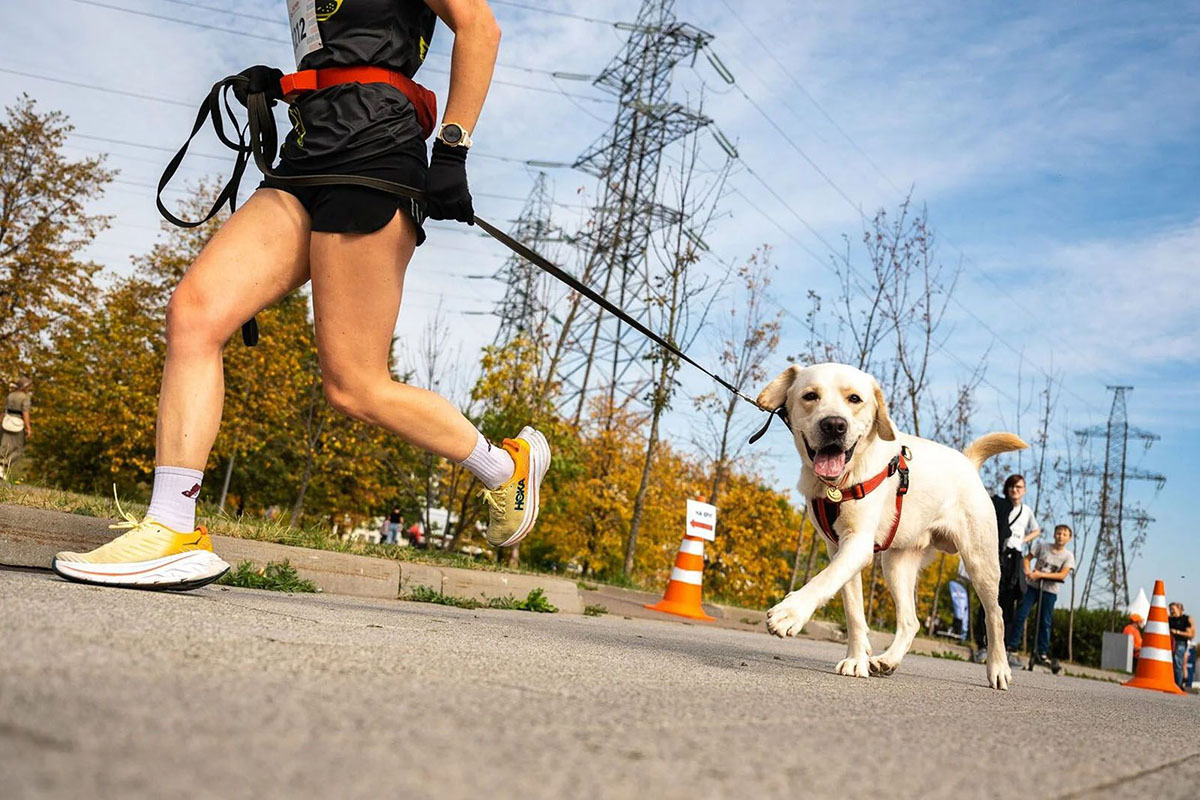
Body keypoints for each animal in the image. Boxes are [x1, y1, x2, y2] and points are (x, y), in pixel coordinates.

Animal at [758, 362, 1022, 690]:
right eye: (810, 396)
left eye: (854, 399)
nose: (834, 425)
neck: (839, 483)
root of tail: (968, 462)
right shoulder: (838, 547)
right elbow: (853, 610)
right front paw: (856, 659)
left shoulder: (857, 544)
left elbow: (823, 580)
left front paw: (790, 613)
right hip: (896, 564)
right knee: (911, 621)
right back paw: (888, 660)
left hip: (980, 561)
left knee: (995, 614)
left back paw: (998, 669)